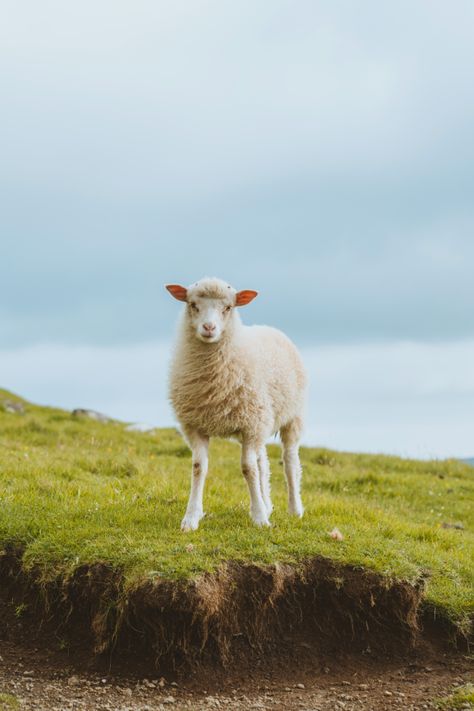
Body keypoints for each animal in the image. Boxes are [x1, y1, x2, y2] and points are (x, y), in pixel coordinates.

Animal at [167, 276, 308, 532]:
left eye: (228, 307)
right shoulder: (195, 425)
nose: (209, 328)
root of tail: (270, 328)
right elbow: (198, 467)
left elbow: (247, 469)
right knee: (263, 462)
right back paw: (268, 503)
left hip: (292, 417)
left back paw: (295, 509)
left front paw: (259, 518)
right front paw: (191, 518)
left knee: (290, 461)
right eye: (193, 304)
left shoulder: (250, 425)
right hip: (261, 418)